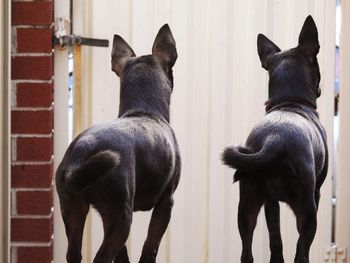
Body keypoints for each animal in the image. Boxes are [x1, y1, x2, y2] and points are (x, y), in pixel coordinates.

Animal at [55, 24, 180, 263]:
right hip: (121, 217)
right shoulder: (166, 203)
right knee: (102, 257)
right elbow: (150, 247)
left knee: (74, 253)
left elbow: (123, 255)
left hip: (74, 208)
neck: (143, 110)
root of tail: (78, 158)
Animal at [223, 16, 326, 263]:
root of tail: (274, 140)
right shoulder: (316, 194)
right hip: (308, 210)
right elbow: (296, 245)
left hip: (247, 205)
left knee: (247, 251)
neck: (290, 102)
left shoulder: (271, 202)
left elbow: (275, 237)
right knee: (302, 250)